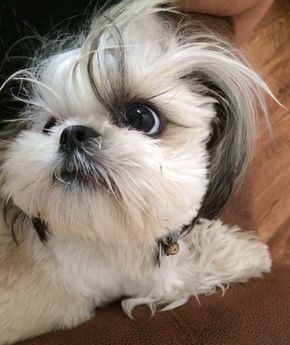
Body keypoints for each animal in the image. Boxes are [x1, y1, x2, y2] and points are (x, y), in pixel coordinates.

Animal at [0, 0, 274, 342]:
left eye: (141, 117)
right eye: (50, 126)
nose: (72, 133)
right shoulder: (154, 280)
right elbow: (202, 261)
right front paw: (253, 254)